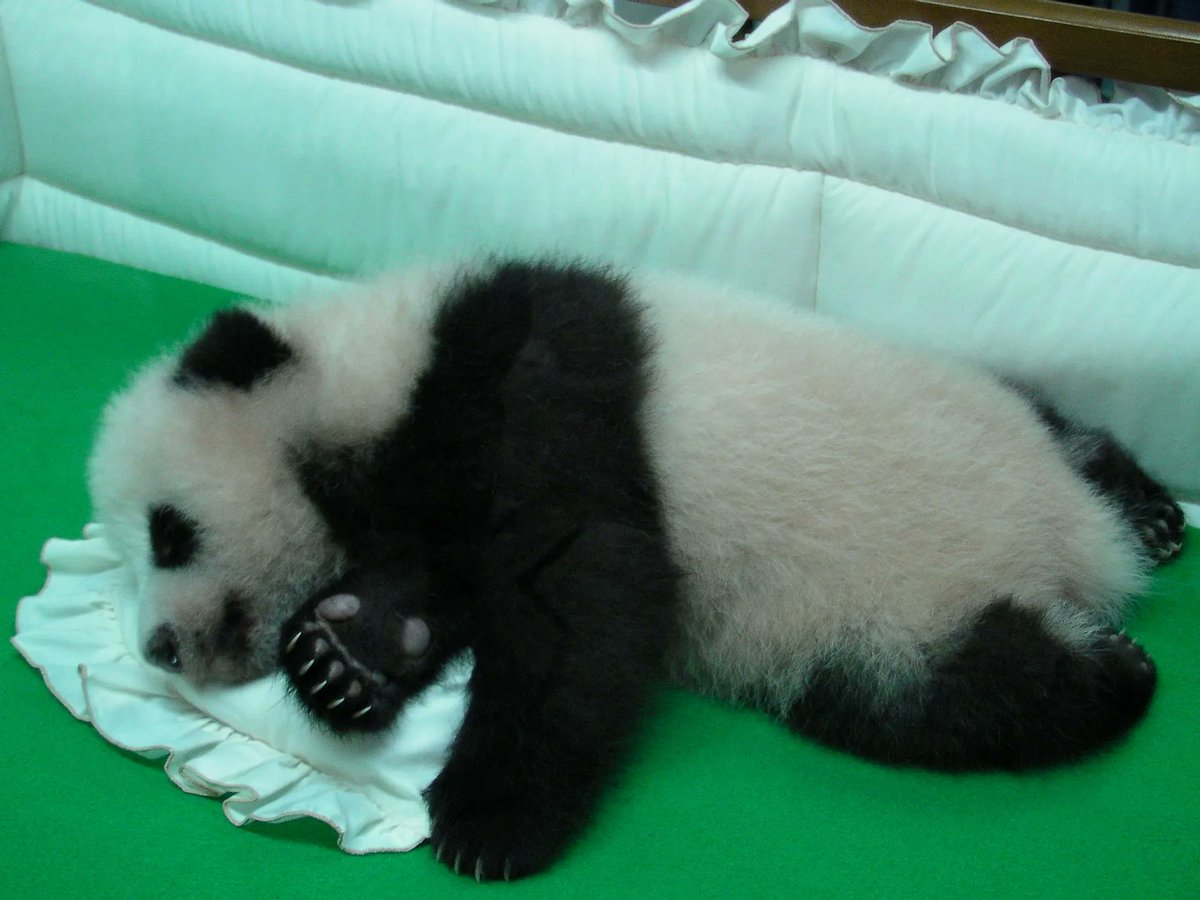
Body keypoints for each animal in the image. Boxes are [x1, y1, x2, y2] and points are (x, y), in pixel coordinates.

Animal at [89, 259, 1184, 881]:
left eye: (168, 534)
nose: (161, 645)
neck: (375, 364)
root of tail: (1078, 547)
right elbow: (440, 586)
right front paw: (345, 657)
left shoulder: (532, 382)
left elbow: (580, 591)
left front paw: (491, 819)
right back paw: (1153, 523)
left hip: (886, 601)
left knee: (981, 696)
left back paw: (1120, 664)